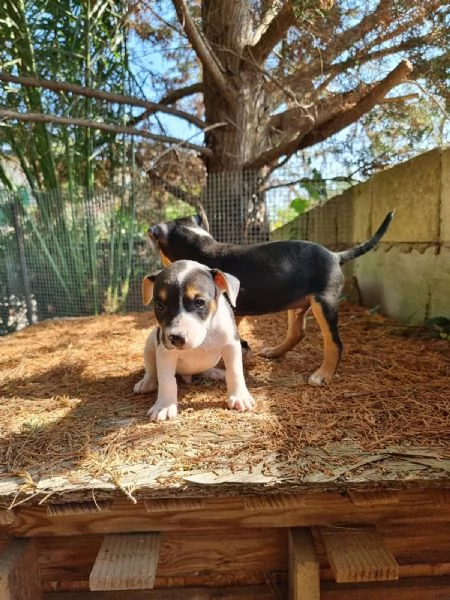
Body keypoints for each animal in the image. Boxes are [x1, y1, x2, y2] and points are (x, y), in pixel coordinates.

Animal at [133, 258, 253, 422]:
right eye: (159, 305)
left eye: (199, 302)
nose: (176, 338)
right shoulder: (165, 353)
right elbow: (166, 380)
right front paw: (164, 406)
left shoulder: (231, 345)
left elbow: (235, 372)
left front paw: (239, 396)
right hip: (150, 345)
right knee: (151, 369)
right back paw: (147, 382)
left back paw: (214, 372)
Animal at [147, 211, 394, 386]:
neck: (202, 245)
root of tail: (335, 255)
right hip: (297, 305)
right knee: (297, 333)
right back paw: (274, 352)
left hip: (324, 303)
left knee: (334, 342)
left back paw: (322, 375)